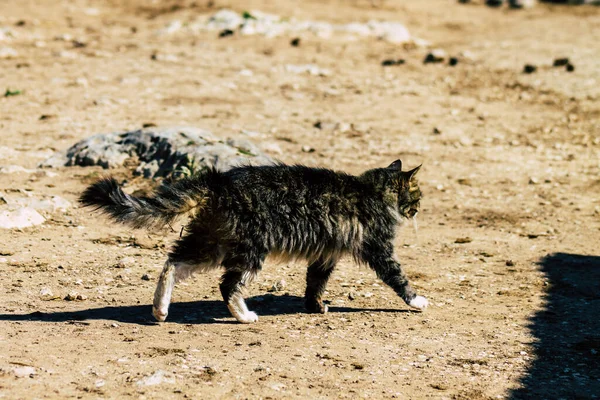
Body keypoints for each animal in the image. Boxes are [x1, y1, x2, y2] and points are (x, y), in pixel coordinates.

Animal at [81, 159, 426, 322]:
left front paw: (315, 307)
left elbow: (315, 283)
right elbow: (398, 277)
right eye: (418, 196)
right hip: (250, 249)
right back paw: (244, 316)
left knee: (172, 263)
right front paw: (416, 300)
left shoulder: (324, 255)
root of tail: (219, 181)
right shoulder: (379, 248)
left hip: (211, 241)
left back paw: (160, 310)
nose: (420, 209)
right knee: (227, 285)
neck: (372, 190)